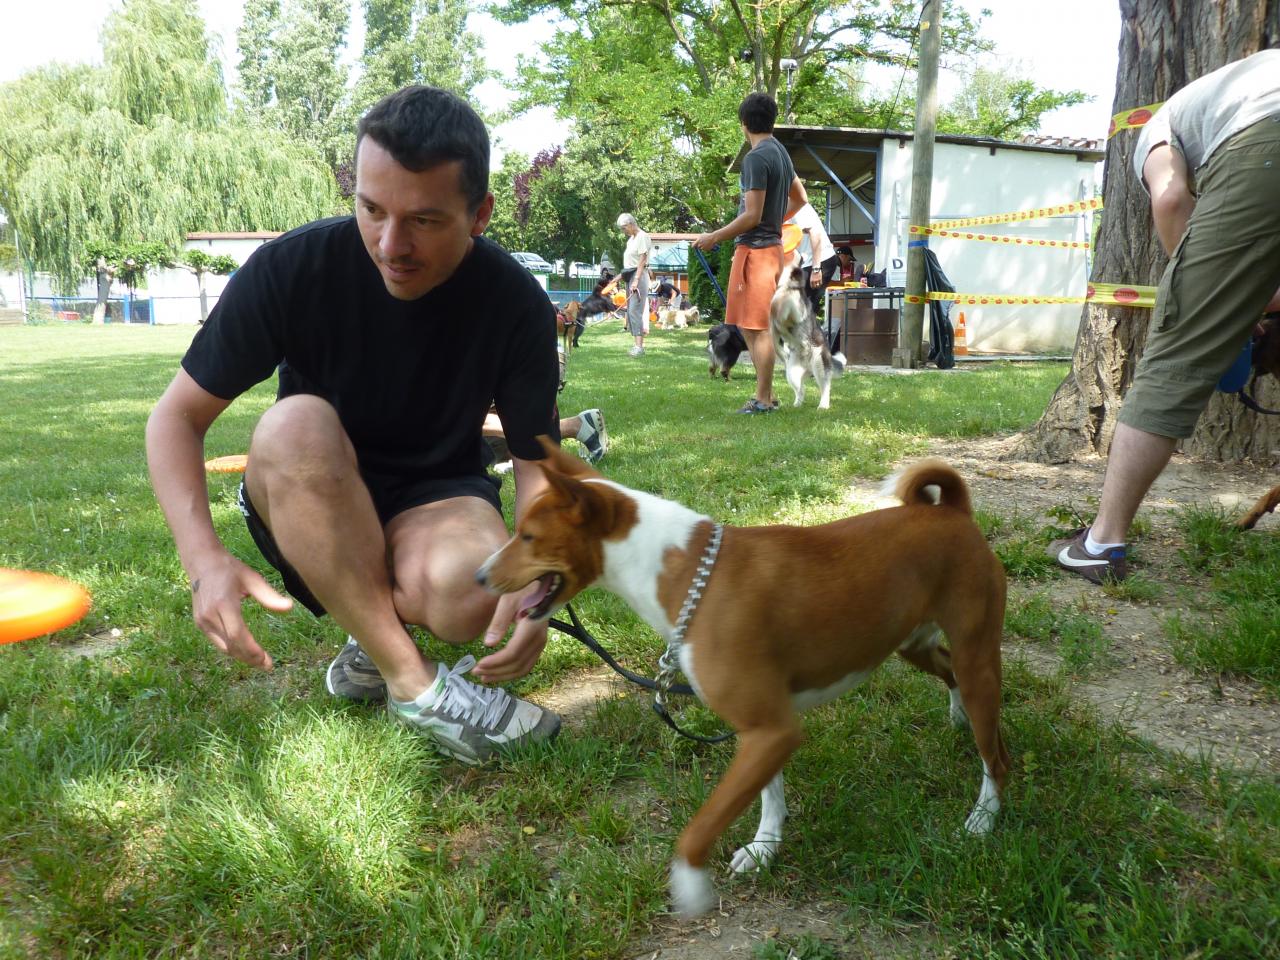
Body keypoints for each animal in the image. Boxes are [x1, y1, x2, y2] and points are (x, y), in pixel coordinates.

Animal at [478, 440, 1008, 921]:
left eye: (527, 536)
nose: (479, 577)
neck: (690, 574)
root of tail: (953, 513)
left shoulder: (772, 730)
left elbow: (701, 826)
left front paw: (690, 886)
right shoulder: (761, 730)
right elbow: (768, 796)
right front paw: (765, 847)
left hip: (978, 660)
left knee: (996, 758)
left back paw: (983, 820)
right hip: (912, 643)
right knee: (948, 671)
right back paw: (957, 717)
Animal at [762, 264, 844, 412]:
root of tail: (808, 368)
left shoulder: (795, 310)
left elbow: (784, 307)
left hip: (819, 364)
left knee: (825, 387)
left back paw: (823, 405)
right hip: (792, 373)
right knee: (801, 390)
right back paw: (797, 404)